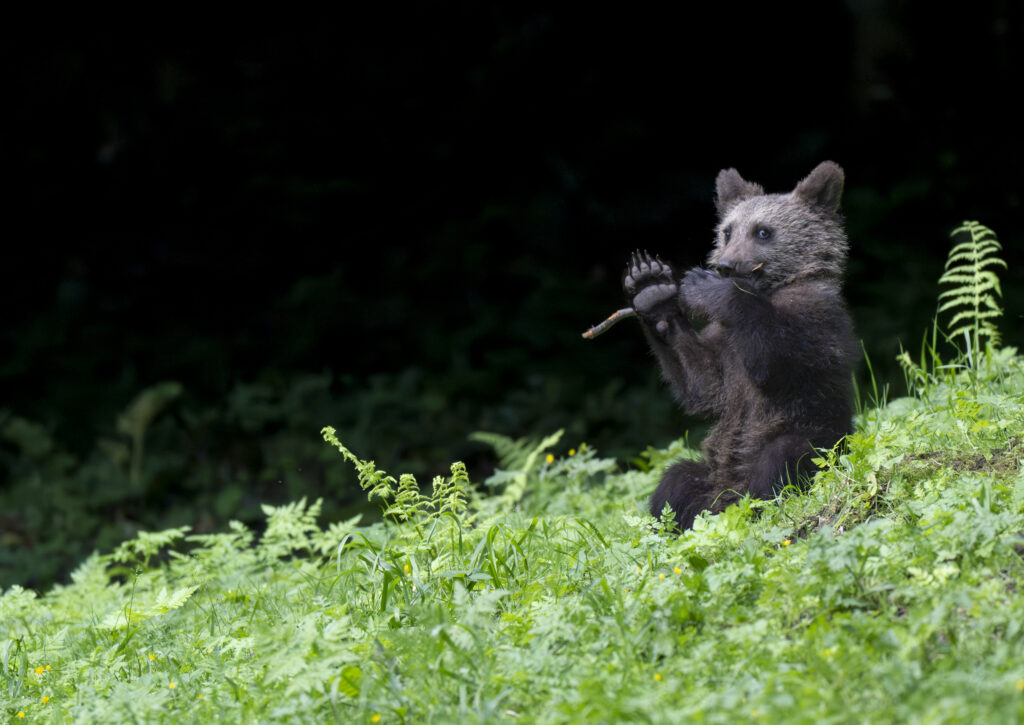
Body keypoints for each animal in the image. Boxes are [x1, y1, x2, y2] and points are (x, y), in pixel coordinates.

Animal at [624, 161, 857, 531]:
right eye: (727, 232)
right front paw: (652, 289)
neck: (770, 288)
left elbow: (778, 364)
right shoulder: (724, 347)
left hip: (820, 440)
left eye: (763, 231)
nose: (726, 265)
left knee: (782, 457)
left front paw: (712, 287)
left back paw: (759, 508)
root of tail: (728, 497)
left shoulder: (814, 319)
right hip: (712, 473)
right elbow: (703, 382)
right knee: (677, 478)